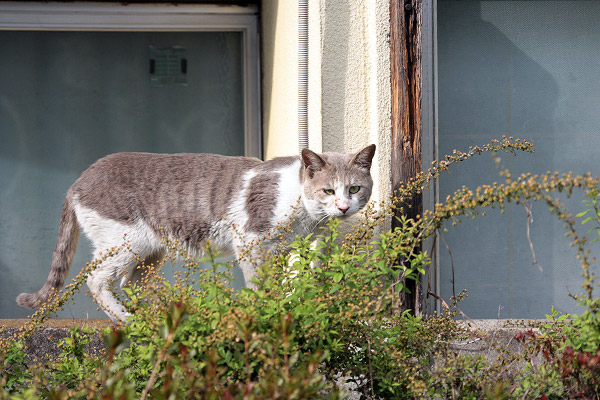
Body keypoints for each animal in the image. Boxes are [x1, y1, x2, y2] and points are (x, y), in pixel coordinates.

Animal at [16, 145, 376, 324]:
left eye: (354, 189)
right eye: (328, 190)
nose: (343, 206)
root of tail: (78, 181)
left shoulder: (290, 248)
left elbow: (293, 280)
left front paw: (291, 305)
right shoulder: (251, 241)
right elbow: (259, 285)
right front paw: (265, 311)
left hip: (149, 252)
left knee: (129, 283)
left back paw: (150, 315)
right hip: (124, 242)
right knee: (96, 280)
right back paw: (126, 319)